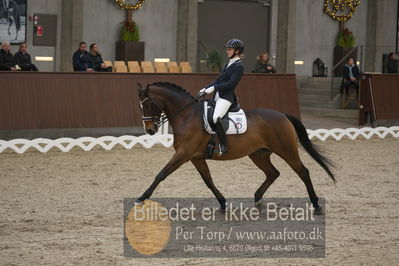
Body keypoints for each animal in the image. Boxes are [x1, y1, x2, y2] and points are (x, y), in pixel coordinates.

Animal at [136, 81, 336, 214]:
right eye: (141, 106)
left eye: (149, 104)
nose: (150, 130)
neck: (187, 115)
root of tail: (282, 115)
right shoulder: (195, 157)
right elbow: (208, 180)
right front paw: (223, 203)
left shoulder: (184, 153)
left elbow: (161, 174)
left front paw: (142, 197)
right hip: (258, 154)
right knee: (273, 173)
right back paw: (257, 198)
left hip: (287, 151)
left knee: (303, 172)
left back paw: (316, 204)